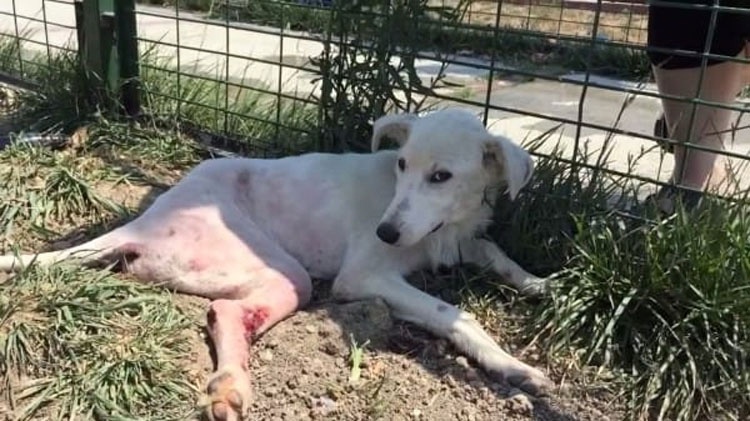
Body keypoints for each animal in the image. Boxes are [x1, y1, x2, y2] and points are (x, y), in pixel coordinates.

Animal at [0, 108, 552, 420]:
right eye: (401, 165)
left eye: (441, 176)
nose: (386, 232)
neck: (440, 227)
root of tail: (141, 223)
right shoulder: (364, 275)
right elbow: (449, 313)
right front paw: (512, 364)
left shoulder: (457, 240)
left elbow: (496, 254)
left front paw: (542, 285)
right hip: (277, 265)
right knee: (226, 309)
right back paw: (230, 388)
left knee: (229, 311)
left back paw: (229, 390)